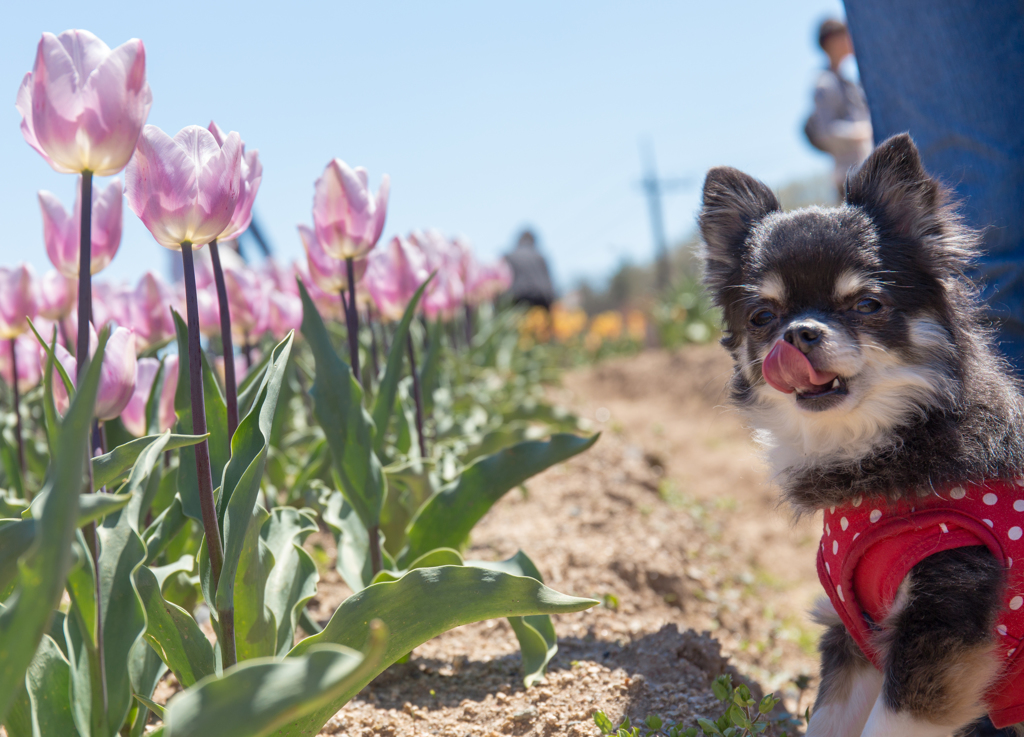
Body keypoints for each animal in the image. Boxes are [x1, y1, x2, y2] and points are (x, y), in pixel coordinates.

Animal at [700, 134, 1024, 737]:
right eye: (761, 317)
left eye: (867, 305)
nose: (799, 332)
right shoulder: (854, 636)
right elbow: (827, 721)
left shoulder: (939, 628)